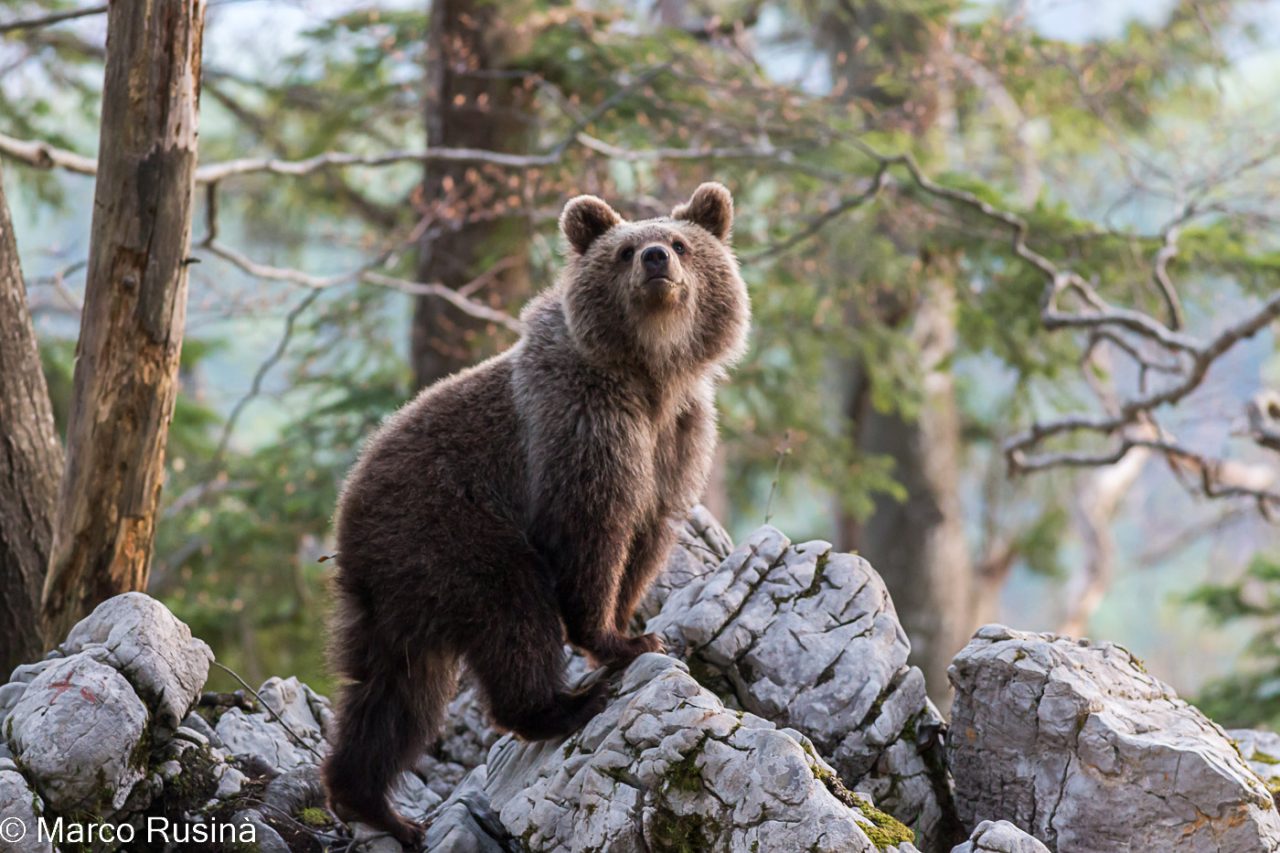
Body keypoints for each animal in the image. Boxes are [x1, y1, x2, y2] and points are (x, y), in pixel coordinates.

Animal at [318, 183, 747, 840]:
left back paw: (374, 804)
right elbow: (593, 530)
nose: (655, 260)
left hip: (398, 589)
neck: (651, 377)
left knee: (397, 688)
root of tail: (348, 509)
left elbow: (648, 537)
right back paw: (557, 707)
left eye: (680, 243)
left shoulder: (677, 440)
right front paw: (619, 641)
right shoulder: (583, 424)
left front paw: (634, 628)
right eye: (625, 250)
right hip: (449, 529)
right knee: (511, 611)